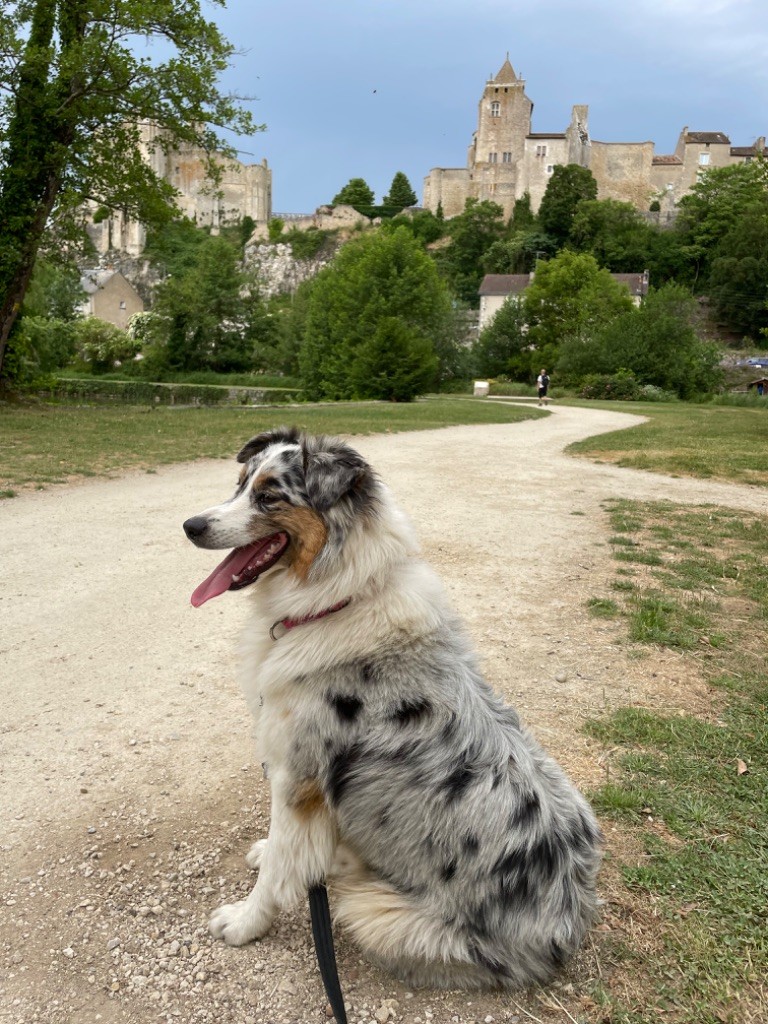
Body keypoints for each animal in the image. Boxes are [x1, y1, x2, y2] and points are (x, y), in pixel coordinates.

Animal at [183, 428, 606, 987]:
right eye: (239, 484)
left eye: (269, 496)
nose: (190, 525)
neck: (335, 599)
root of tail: (568, 926)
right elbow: (287, 852)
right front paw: (269, 855)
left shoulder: (298, 780)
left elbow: (279, 872)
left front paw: (245, 922)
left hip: (375, 911)